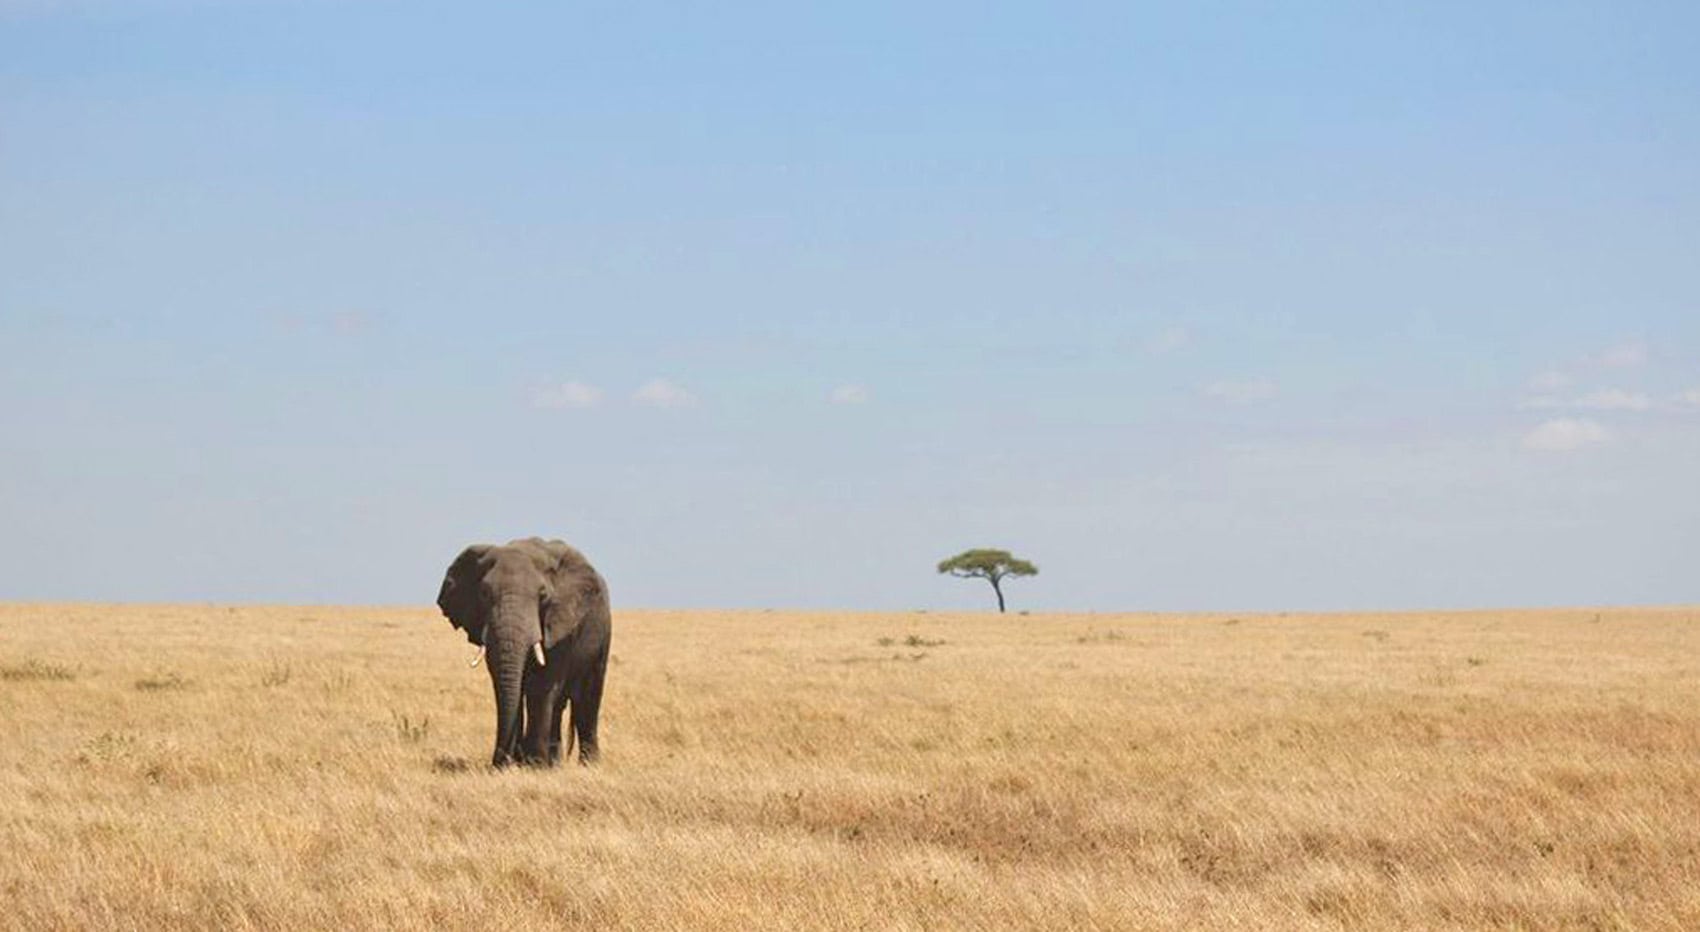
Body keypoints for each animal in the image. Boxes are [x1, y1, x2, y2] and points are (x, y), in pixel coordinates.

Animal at [436, 537, 611, 768]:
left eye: (543, 596)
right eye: (484, 594)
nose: (500, 760)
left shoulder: (560, 626)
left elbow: (542, 684)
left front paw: (534, 765)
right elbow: (506, 685)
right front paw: (510, 765)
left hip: (602, 637)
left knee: (588, 697)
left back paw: (588, 764)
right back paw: (554, 763)